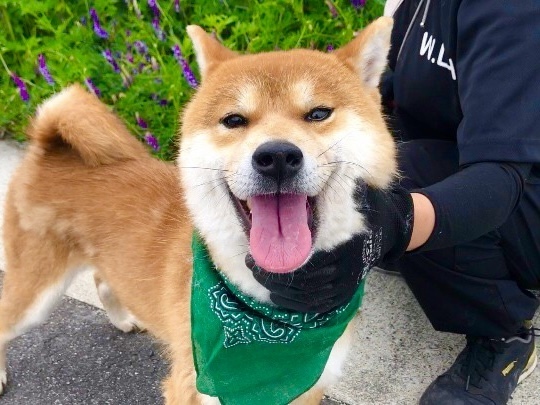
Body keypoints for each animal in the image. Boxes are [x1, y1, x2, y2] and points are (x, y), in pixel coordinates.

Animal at [0, 17, 396, 404]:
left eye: (318, 113)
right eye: (234, 120)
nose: (277, 156)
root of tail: (47, 149)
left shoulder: (309, 388)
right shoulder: (190, 386)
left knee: (102, 278)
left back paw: (123, 317)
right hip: (36, 293)